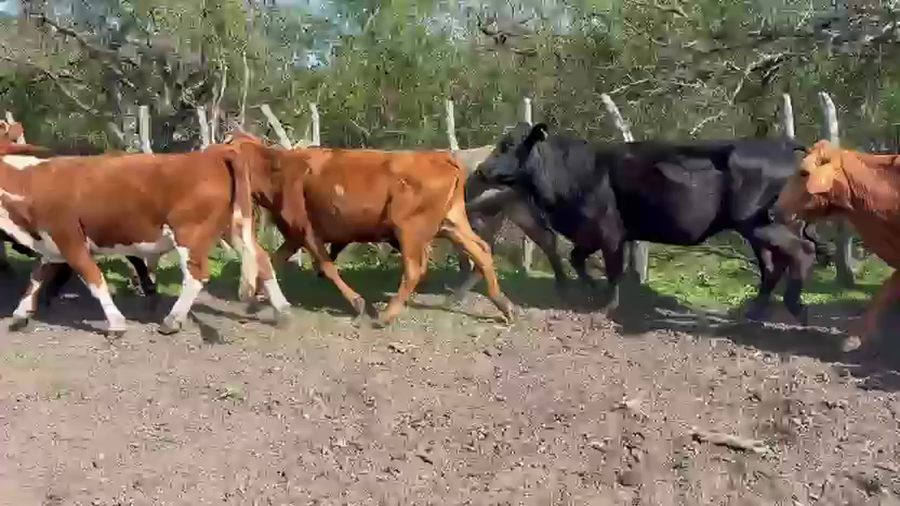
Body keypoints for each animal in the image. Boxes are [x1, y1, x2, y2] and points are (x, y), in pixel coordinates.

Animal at [0, 145, 292, 337]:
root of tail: (214, 154)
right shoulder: (49, 244)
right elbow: (35, 280)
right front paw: (20, 315)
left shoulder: (70, 240)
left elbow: (95, 280)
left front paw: (116, 323)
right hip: (233, 228)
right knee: (262, 259)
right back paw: (282, 311)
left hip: (190, 234)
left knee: (196, 276)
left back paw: (172, 320)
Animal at [224, 132, 516, 326]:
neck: (280, 170)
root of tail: (443, 158)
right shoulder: (295, 234)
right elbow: (272, 261)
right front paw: (257, 298)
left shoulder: (307, 231)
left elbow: (326, 265)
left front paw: (358, 302)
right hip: (451, 223)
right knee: (482, 250)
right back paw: (504, 305)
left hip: (409, 230)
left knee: (415, 268)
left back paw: (386, 315)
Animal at [472, 122, 822, 323]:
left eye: (508, 145)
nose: (480, 170)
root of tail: (783, 144)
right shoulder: (589, 233)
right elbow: (576, 258)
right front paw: (591, 288)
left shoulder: (610, 232)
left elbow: (613, 270)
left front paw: (605, 307)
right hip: (757, 229)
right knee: (772, 266)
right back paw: (754, 312)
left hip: (763, 223)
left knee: (801, 252)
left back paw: (796, 307)